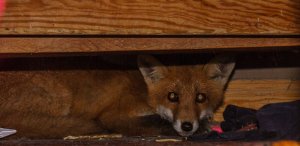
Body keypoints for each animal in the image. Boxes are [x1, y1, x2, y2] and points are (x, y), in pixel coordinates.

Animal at [0, 54, 234, 139]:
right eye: (172, 96)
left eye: (200, 98)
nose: (187, 126)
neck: (145, 93)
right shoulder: (114, 116)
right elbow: (156, 121)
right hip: (61, 98)